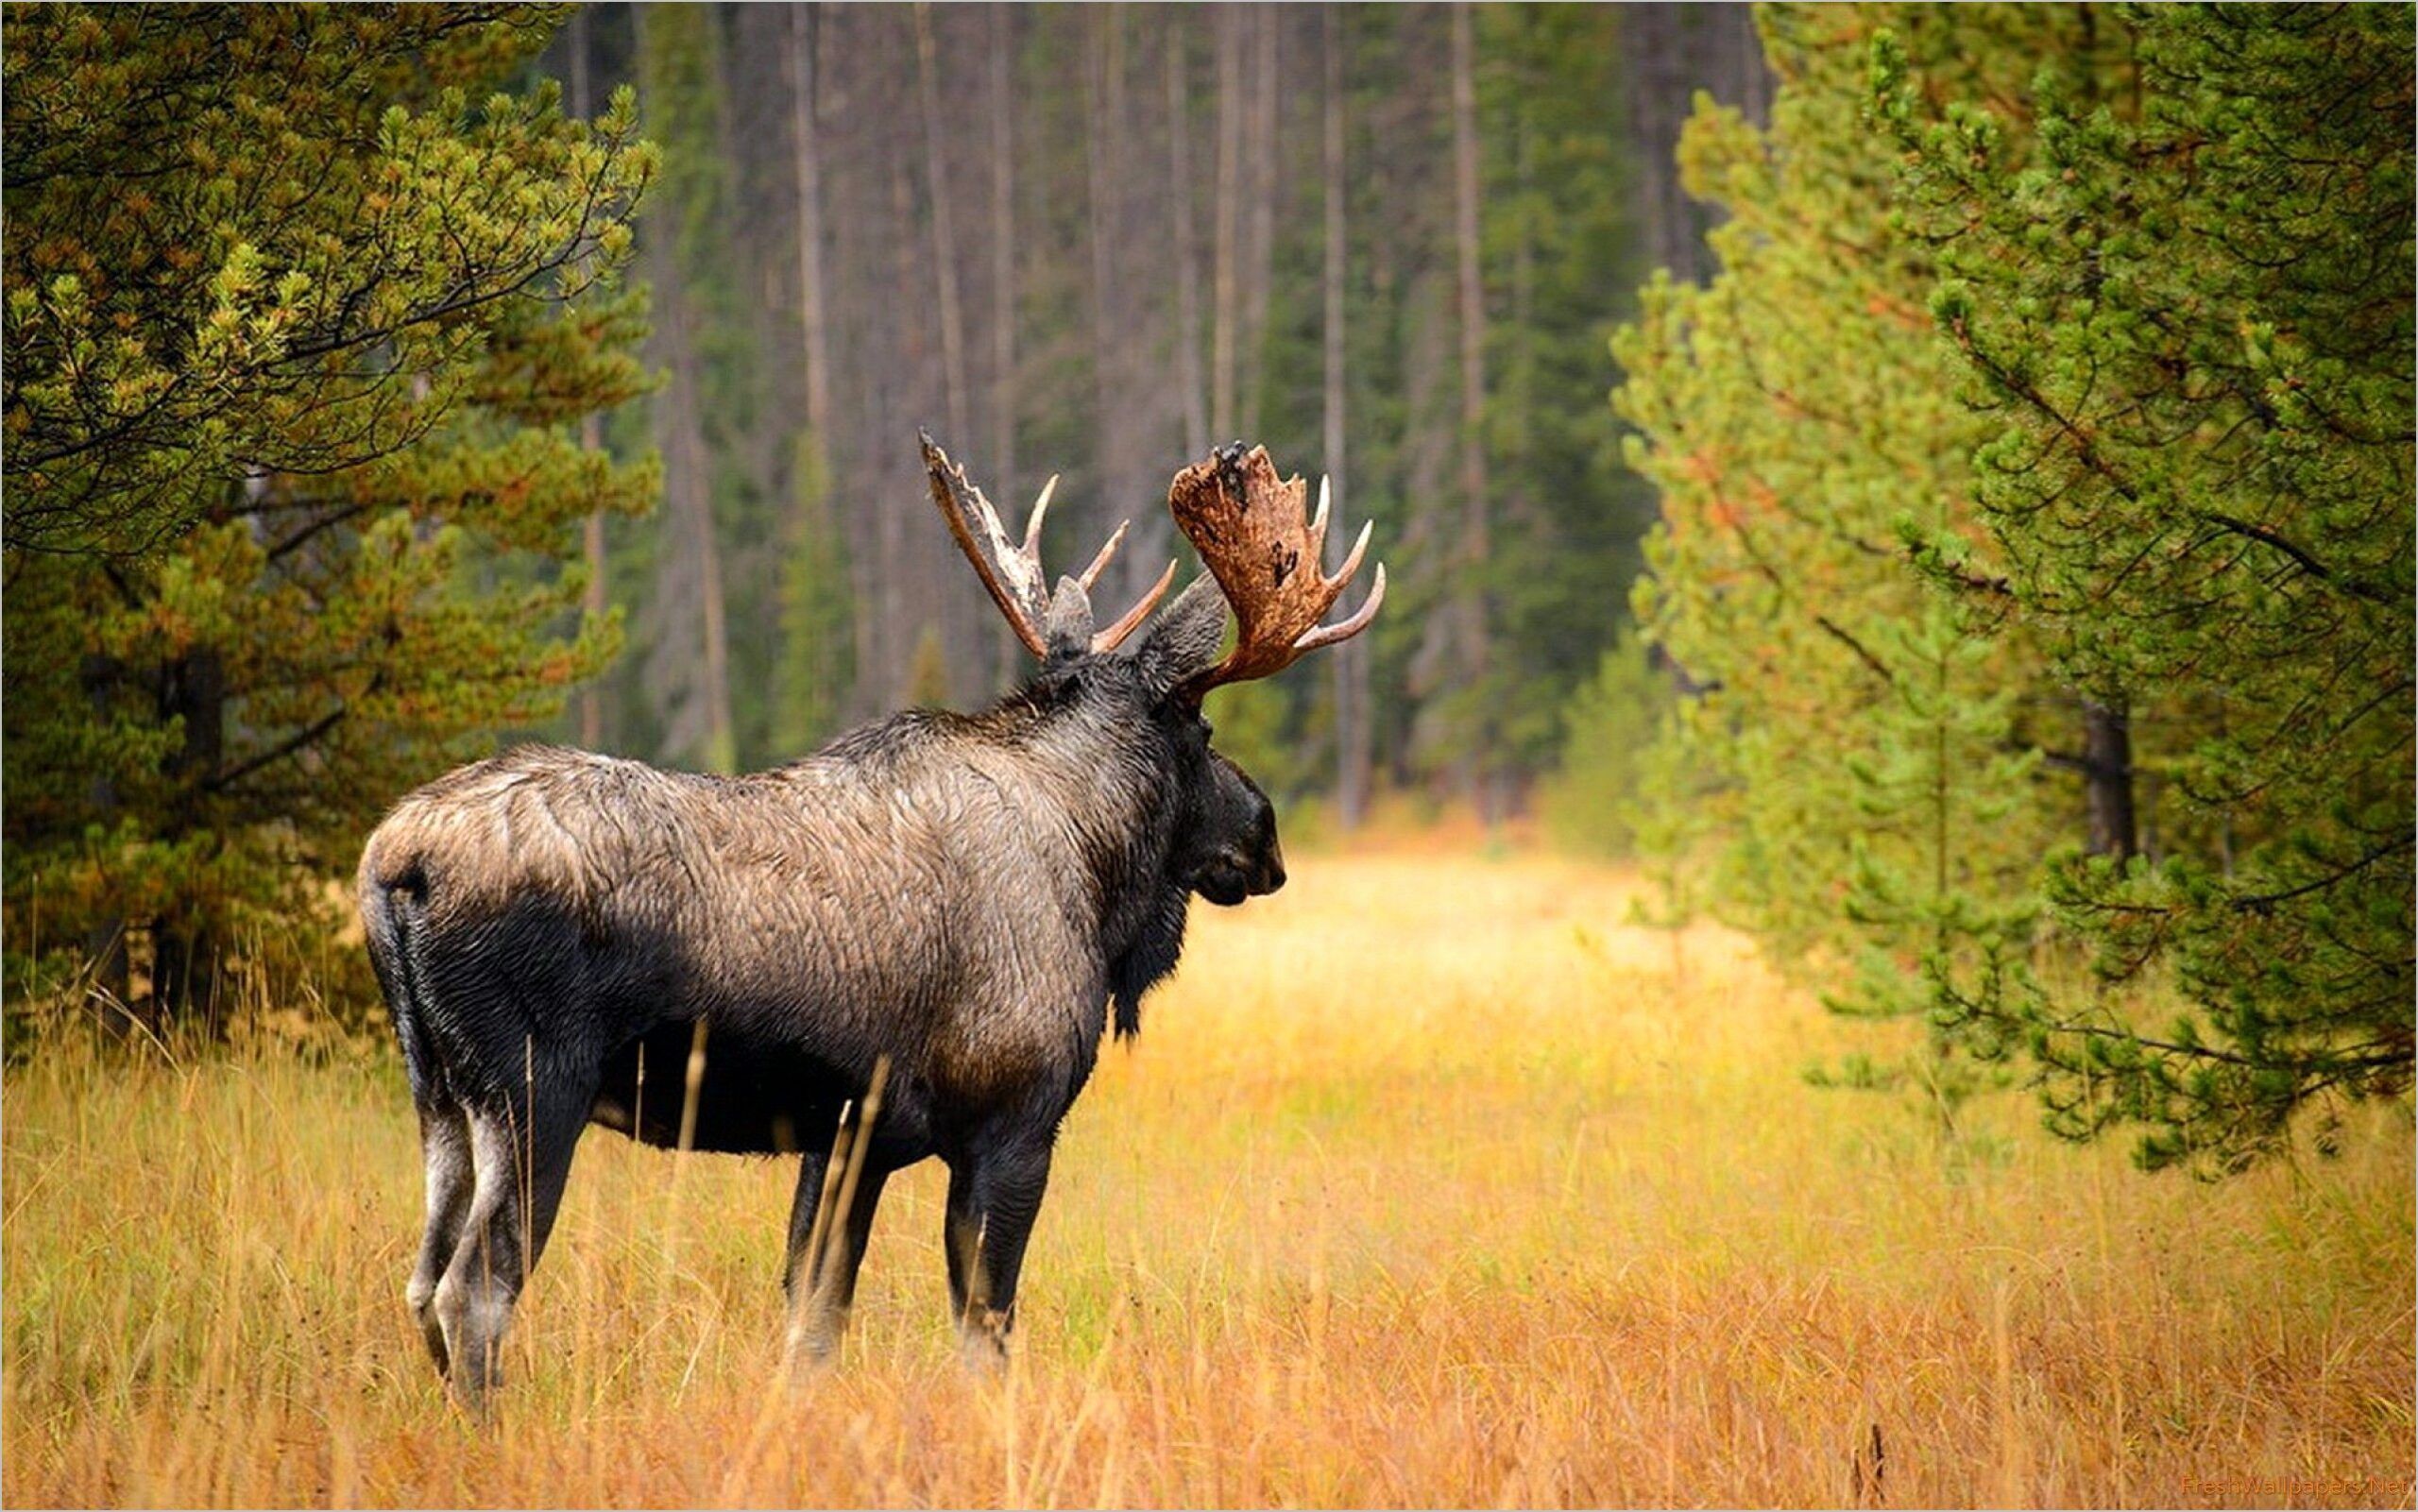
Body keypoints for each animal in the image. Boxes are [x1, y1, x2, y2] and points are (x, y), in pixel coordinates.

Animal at [352, 433, 1383, 1402]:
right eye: (1202, 733)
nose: (1265, 834)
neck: (1094, 868)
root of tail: (394, 863)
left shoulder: (849, 1137)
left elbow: (812, 1324)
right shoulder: (1012, 1124)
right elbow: (985, 1330)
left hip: (439, 1097)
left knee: (420, 1282)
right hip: (534, 1089)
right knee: (473, 1292)